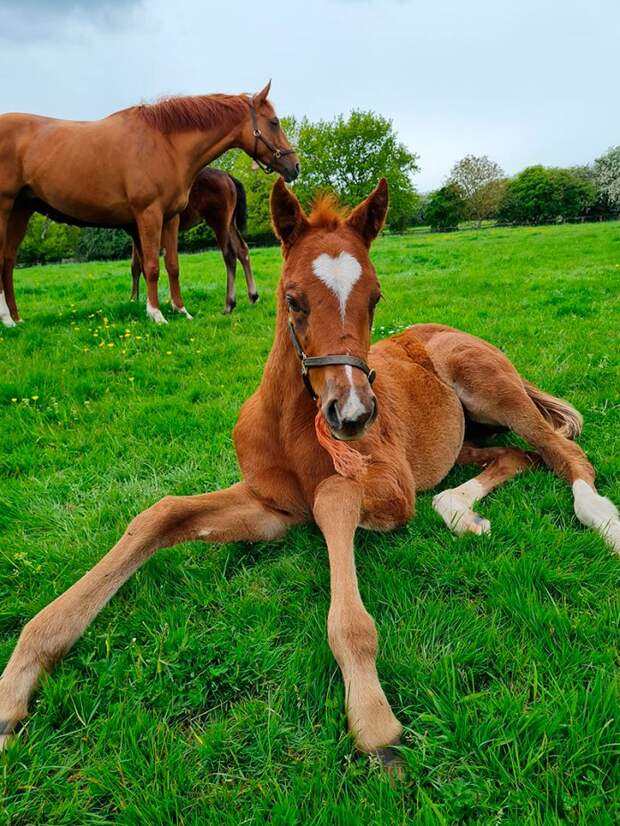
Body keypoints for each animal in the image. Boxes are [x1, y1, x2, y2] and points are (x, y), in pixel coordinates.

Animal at [130, 167, 258, 312]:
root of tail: (227, 176)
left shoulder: (136, 230)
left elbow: (140, 266)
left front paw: (139, 301)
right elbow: (135, 266)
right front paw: (134, 300)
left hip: (219, 222)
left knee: (229, 254)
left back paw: (229, 304)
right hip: (230, 223)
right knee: (242, 250)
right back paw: (253, 296)